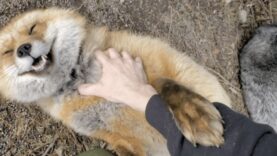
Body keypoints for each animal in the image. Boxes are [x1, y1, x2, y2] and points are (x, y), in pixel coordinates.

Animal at [0, 8, 230, 155]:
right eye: (7, 52)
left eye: (32, 28)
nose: (23, 49)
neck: (78, 79)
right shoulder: (117, 137)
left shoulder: (144, 65)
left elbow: (163, 85)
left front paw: (194, 116)